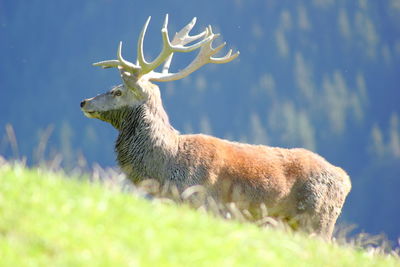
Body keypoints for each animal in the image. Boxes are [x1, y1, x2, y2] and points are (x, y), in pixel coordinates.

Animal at [80, 15, 350, 241]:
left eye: (117, 91)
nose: (84, 102)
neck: (166, 167)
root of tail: (345, 180)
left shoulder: (202, 202)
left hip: (317, 220)